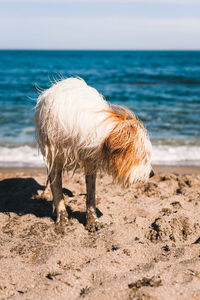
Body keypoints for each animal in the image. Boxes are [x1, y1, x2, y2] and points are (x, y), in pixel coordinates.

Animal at [34, 78, 153, 232]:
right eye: (143, 156)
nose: (152, 174)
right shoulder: (54, 157)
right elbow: (58, 191)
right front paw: (62, 218)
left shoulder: (91, 161)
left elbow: (91, 195)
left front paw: (92, 220)